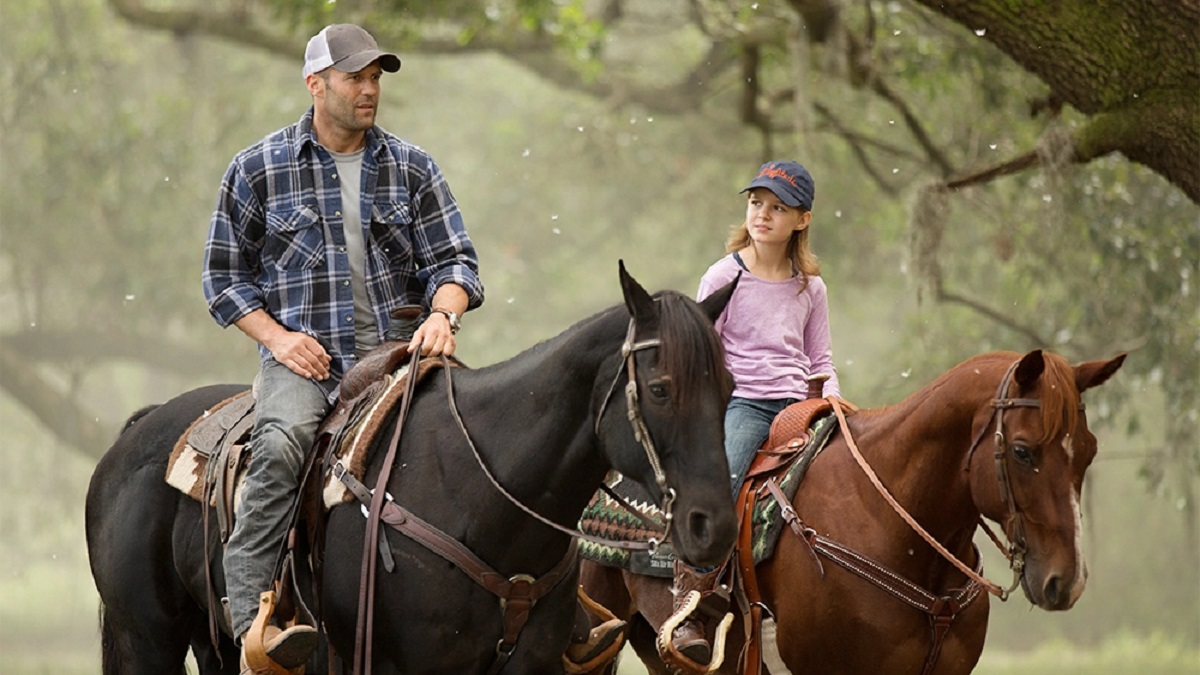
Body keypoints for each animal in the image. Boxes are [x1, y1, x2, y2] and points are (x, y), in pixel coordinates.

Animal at [87, 264, 739, 672]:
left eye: (730, 387)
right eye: (660, 388)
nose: (713, 526)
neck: (478, 494)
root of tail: (134, 431)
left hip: (211, 640)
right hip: (146, 636)